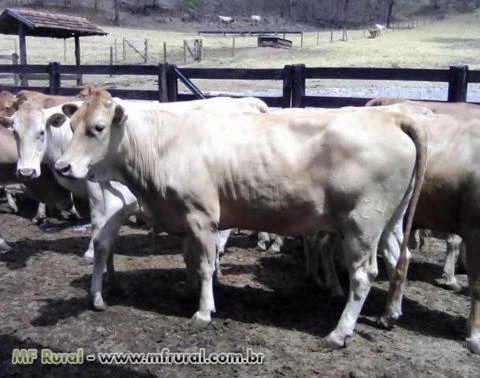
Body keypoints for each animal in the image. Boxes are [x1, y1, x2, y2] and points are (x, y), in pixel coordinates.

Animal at [54, 91, 426, 348]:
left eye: (98, 127)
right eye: (71, 126)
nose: (62, 167)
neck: (164, 144)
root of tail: (390, 118)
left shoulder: (201, 216)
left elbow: (205, 264)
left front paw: (204, 310)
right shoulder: (188, 218)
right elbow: (190, 258)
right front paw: (188, 291)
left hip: (362, 224)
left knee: (363, 276)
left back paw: (339, 332)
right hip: (391, 221)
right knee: (399, 258)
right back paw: (389, 315)